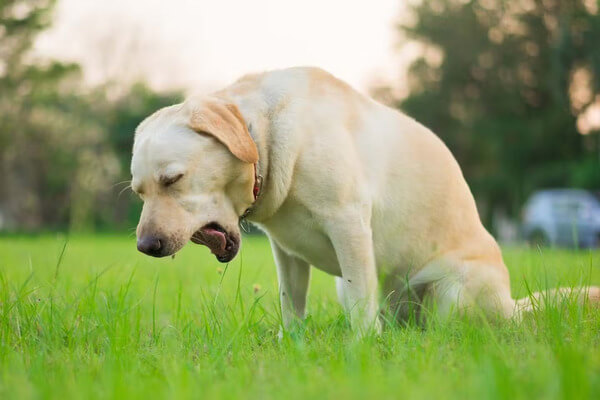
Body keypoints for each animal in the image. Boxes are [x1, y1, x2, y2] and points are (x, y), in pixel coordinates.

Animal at [130, 68, 596, 334]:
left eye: (173, 180)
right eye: (139, 191)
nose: (146, 247)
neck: (263, 135)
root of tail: (512, 308)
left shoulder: (348, 224)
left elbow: (359, 304)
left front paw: (360, 350)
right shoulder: (286, 252)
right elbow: (291, 303)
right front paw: (292, 345)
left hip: (451, 291)